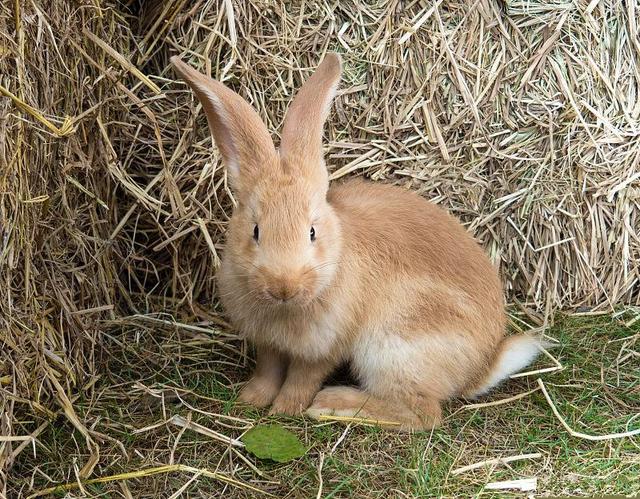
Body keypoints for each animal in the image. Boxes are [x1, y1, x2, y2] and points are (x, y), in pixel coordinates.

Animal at [172, 52, 544, 432]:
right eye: (255, 230)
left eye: (312, 232)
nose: (283, 287)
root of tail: (480, 368)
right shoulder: (269, 345)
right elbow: (268, 371)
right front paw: (250, 400)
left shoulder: (326, 347)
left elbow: (302, 379)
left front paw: (285, 409)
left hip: (393, 350)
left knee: (422, 413)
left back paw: (334, 403)